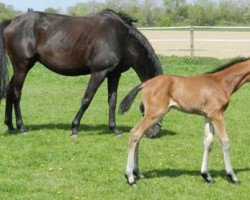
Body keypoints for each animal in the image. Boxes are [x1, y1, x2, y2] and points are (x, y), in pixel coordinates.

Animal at [119, 57, 250, 186]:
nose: (207, 176)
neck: (221, 83)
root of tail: (145, 83)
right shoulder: (217, 115)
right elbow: (225, 141)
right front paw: (233, 177)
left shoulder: (208, 116)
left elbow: (208, 142)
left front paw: (207, 176)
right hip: (154, 114)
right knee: (135, 133)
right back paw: (130, 178)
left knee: (138, 135)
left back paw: (137, 173)